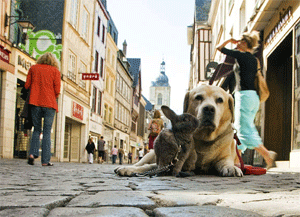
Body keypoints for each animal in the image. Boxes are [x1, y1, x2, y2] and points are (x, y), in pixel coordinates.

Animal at [113, 84, 243, 177]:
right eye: (198, 97)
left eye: (220, 100)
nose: (209, 109)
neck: (204, 140)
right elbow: (149, 166)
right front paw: (129, 169)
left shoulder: (224, 157)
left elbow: (225, 163)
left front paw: (232, 168)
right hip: (150, 154)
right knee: (142, 162)